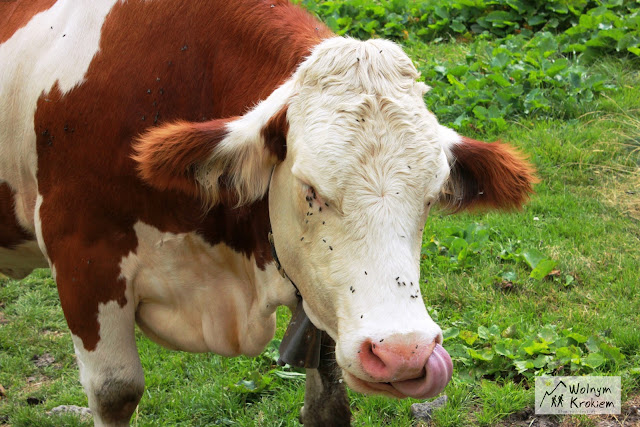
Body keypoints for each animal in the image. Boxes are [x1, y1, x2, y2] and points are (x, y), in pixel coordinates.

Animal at [1, 1, 536, 426]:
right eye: (310, 189)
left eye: (430, 195)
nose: (404, 352)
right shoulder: (83, 256)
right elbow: (116, 391)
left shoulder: (319, 296)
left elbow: (328, 405)